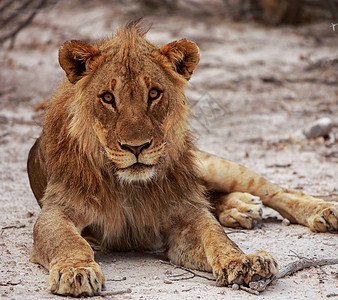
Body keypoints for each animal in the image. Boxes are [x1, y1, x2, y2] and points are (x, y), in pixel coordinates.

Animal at [27, 22, 338, 296]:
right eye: (107, 97)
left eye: (154, 94)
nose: (136, 147)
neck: (129, 186)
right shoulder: (58, 210)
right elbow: (68, 242)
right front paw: (76, 272)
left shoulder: (184, 213)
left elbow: (215, 234)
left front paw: (244, 261)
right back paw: (241, 208)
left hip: (211, 166)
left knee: (276, 190)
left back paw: (323, 211)